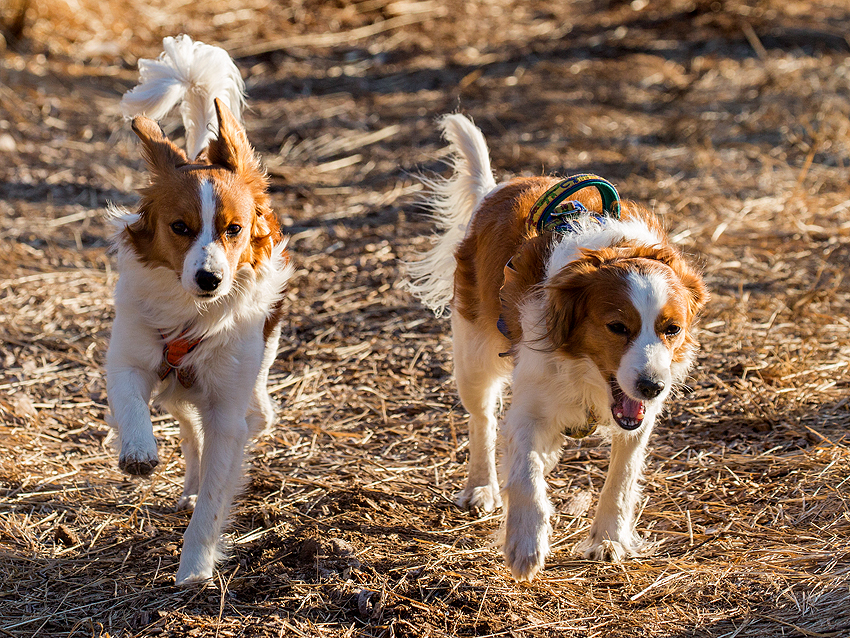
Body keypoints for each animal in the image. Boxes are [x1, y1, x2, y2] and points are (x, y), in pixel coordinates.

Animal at [106, 33, 294, 584]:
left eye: (234, 229)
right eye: (180, 227)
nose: (210, 278)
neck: (190, 312)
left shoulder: (226, 410)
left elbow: (216, 490)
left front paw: (194, 565)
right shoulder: (127, 359)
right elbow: (131, 401)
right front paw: (139, 452)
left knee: (248, 418)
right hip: (178, 392)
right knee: (188, 430)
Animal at [408, 112, 704, 584]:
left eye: (671, 329)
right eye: (617, 326)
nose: (652, 386)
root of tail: (494, 191)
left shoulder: (637, 422)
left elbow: (621, 477)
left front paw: (608, 538)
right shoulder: (530, 405)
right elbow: (524, 474)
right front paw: (525, 543)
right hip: (472, 359)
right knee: (482, 420)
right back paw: (482, 486)